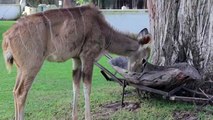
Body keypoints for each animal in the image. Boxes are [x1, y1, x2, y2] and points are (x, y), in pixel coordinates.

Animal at [1, 4, 151, 120]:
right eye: (144, 60)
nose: (138, 77)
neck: (105, 32)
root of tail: (7, 37)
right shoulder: (88, 56)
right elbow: (87, 88)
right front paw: (87, 117)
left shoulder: (76, 59)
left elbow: (75, 86)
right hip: (32, 66)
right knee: (21, 92)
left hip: (21, 68)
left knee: (15, 91)